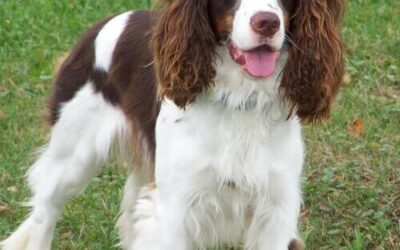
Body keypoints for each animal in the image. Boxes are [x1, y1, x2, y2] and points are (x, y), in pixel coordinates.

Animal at [0, 0, 344, 250]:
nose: (267, 22)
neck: (239, 99)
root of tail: (101, 25)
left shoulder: (276, 209)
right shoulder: (176, 210)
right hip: (73, 157)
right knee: (46, 209)